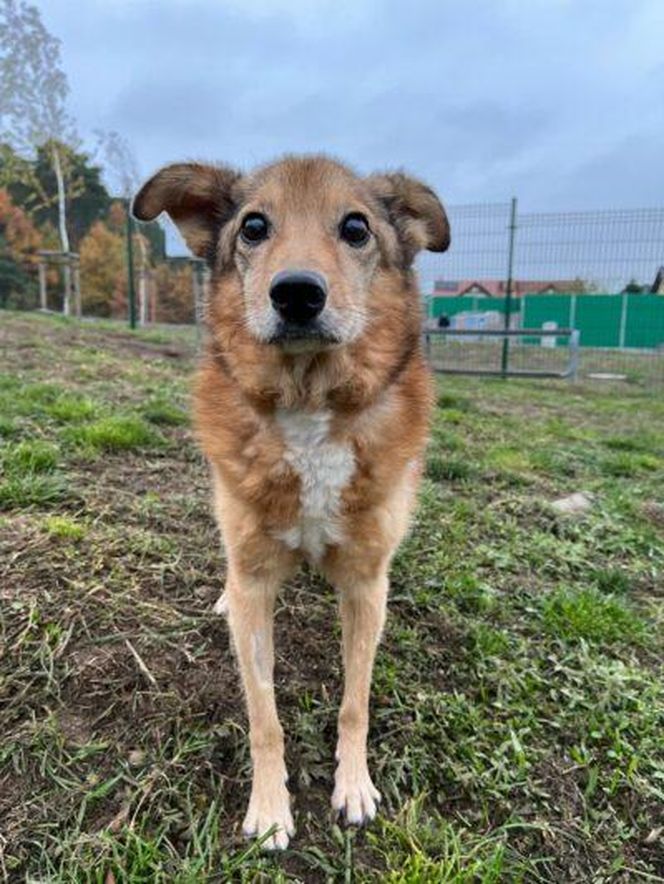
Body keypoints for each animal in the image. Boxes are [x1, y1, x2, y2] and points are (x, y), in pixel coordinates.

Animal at [132, 157, 448, 848]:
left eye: (356, 227)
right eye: (254, 227)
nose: (297, 293)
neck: (308, 406)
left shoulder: (365, 584)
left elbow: (355, 702)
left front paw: (353, 786)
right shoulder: (255, 580)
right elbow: (264, 716)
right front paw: (271, 808)